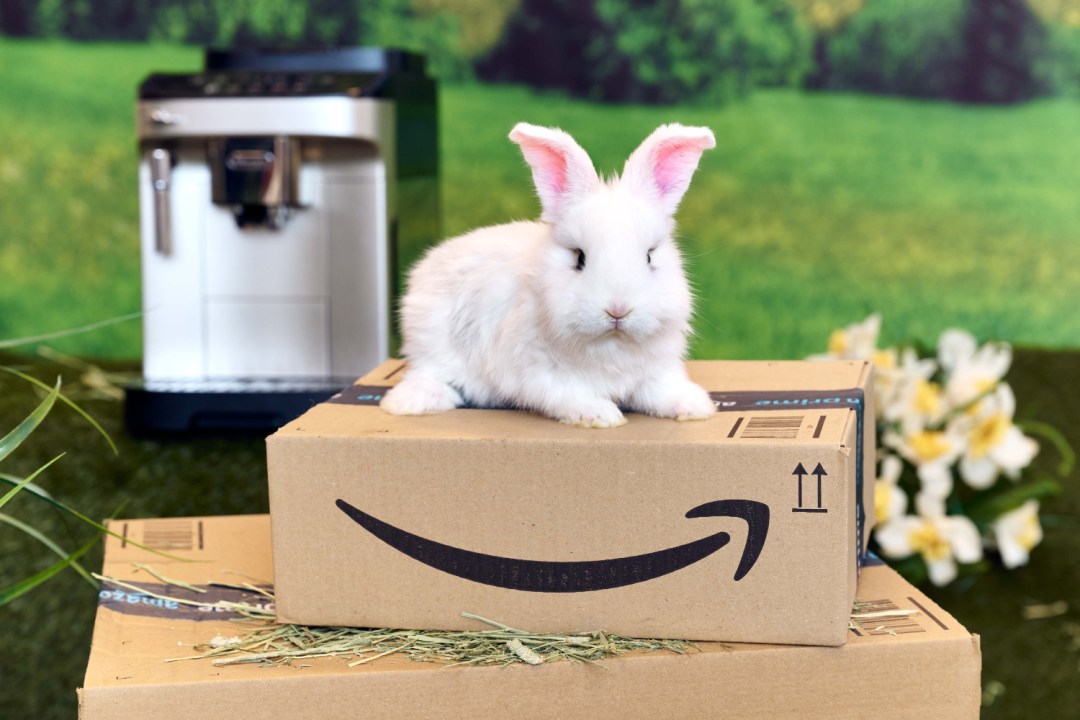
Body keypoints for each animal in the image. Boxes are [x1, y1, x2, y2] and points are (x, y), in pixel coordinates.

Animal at [380, 122, 717, 427]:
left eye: (649, 256)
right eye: (579, 257)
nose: (618, 310)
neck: (611, 344)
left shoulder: (655, 370)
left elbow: (660, 391)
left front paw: (697, 407)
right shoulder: (537, 372)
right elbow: (568, 394)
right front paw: (601, 416)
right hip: (431, 341)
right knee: (428, 373)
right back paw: (410, 403)